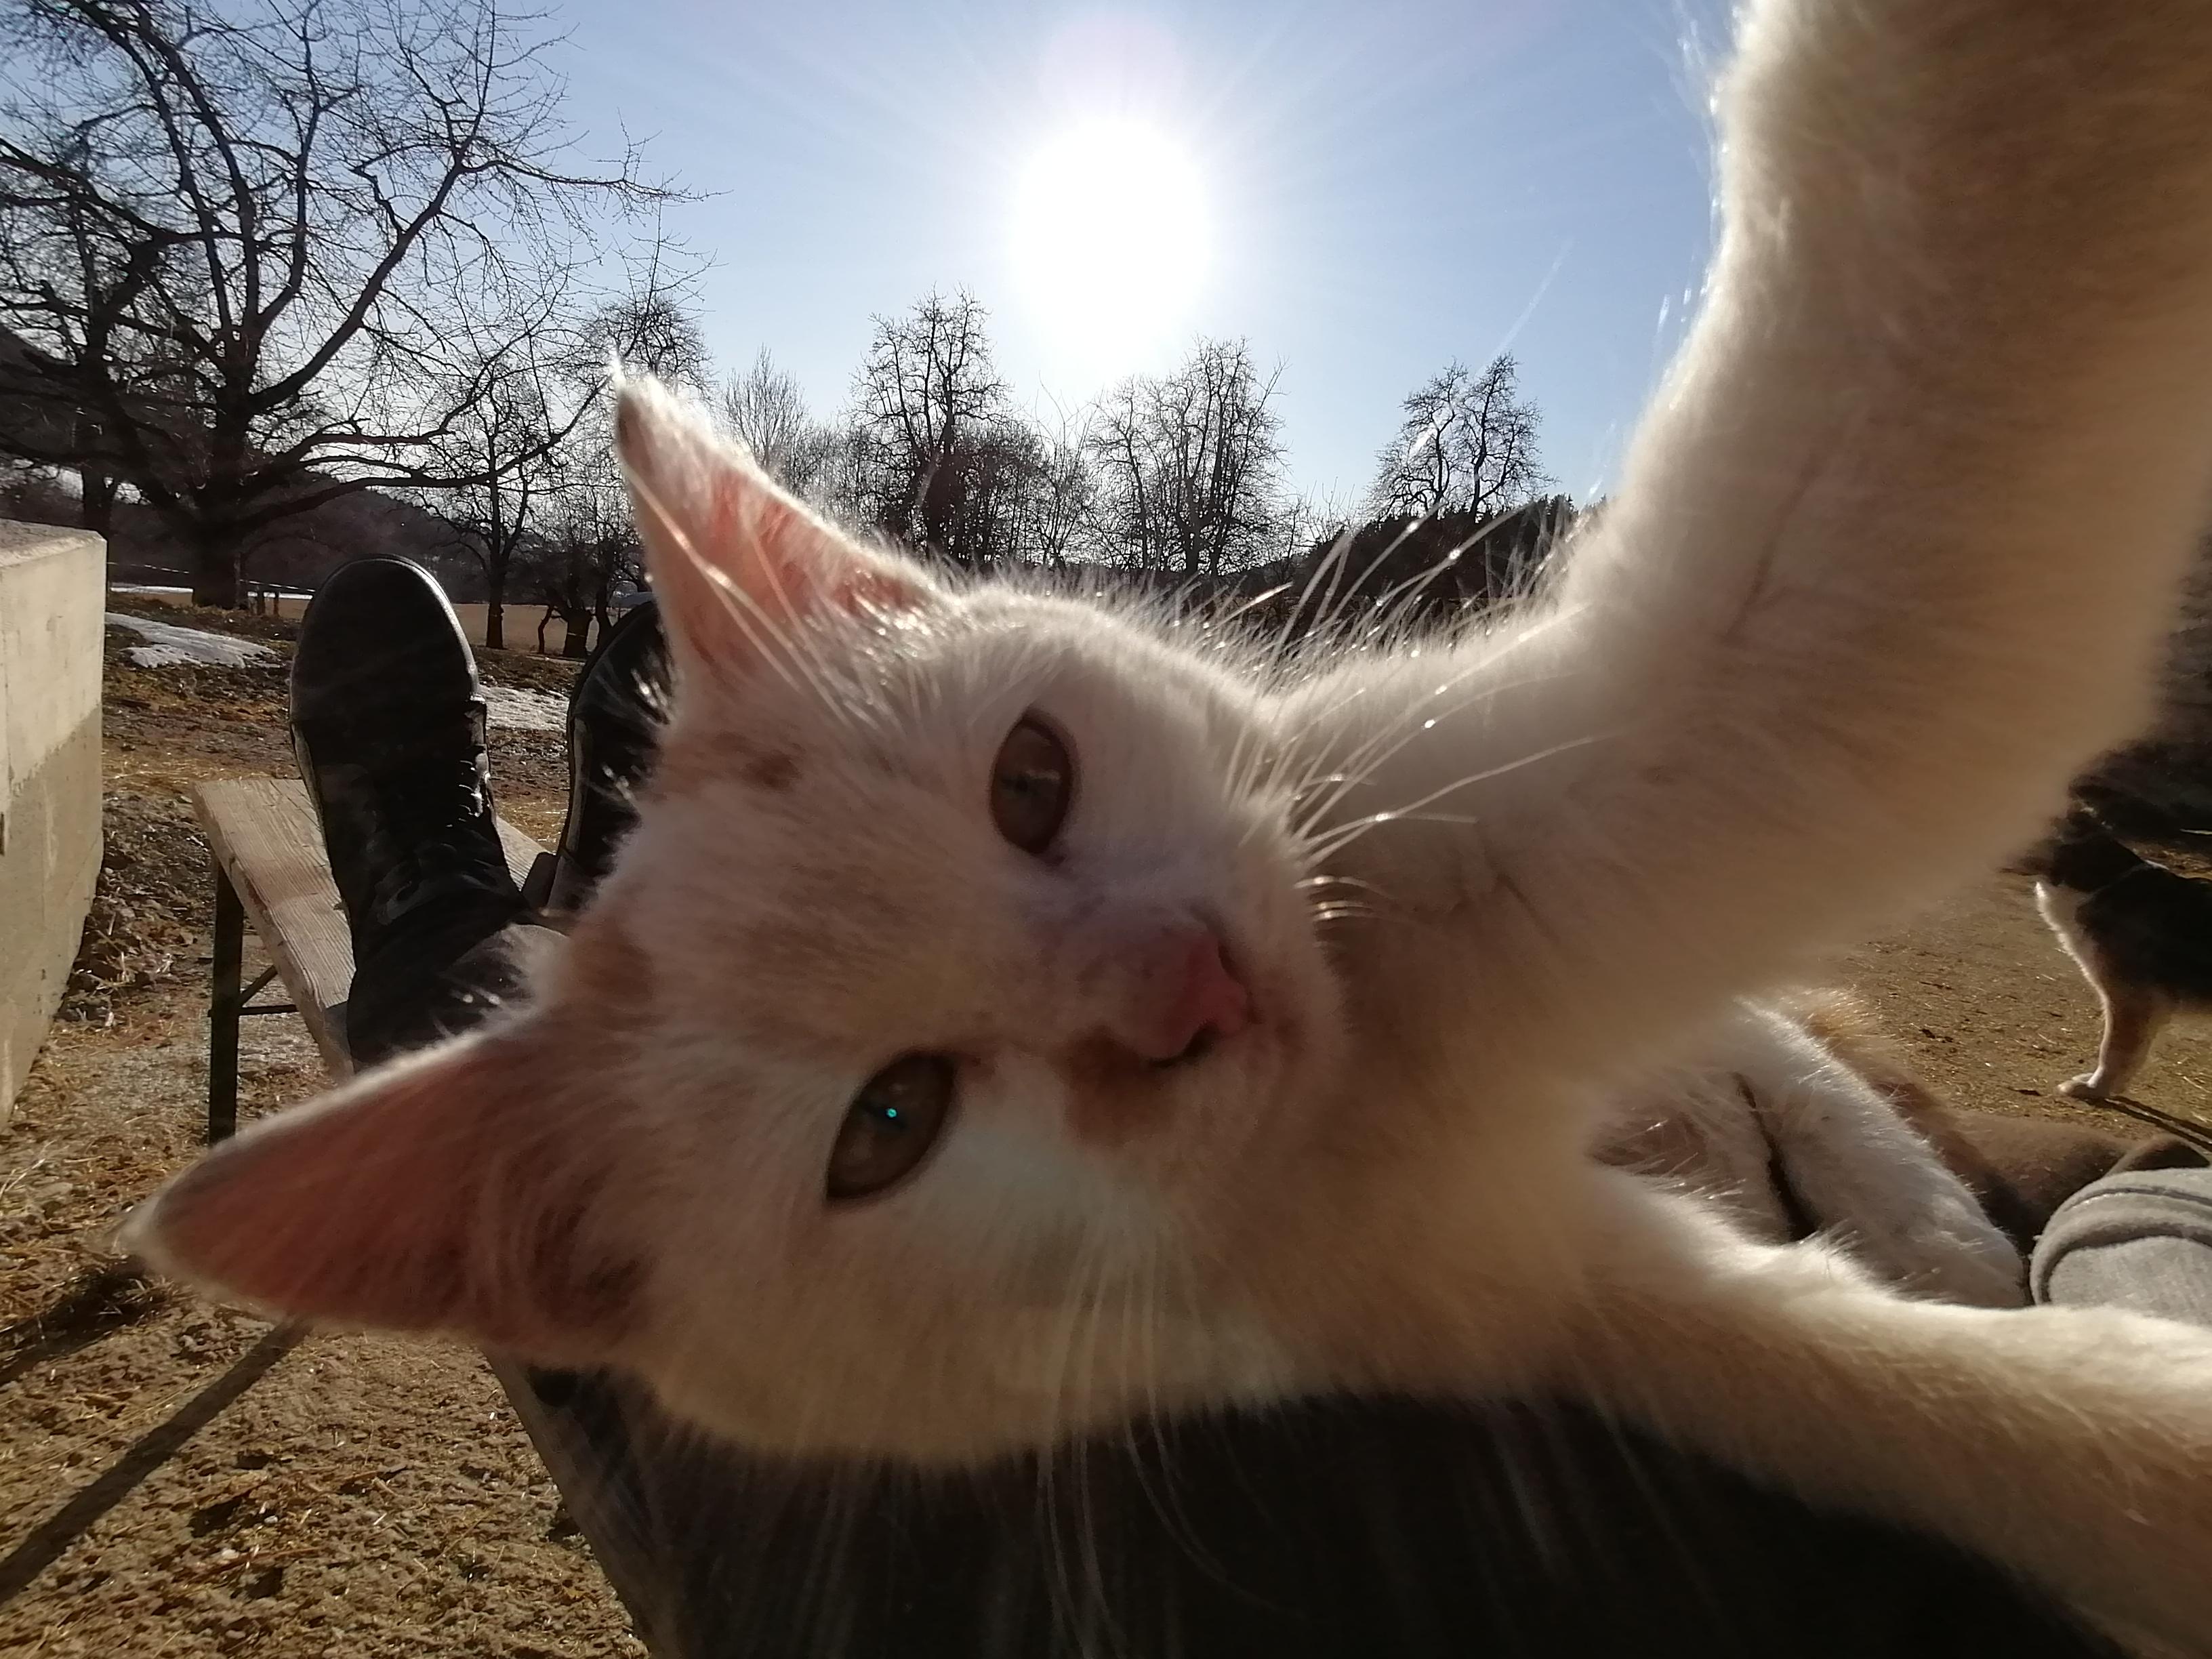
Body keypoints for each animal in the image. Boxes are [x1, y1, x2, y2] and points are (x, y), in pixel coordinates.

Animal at [124, 0, 2212, 1648]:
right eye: (889, 1126)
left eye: (1032, 779)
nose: (1185, 987)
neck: (1375, 1072)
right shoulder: (1465, 1289)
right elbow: (1942, 1402)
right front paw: (2110, 1437)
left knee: (1805, 1063)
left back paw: (1917, 1200)